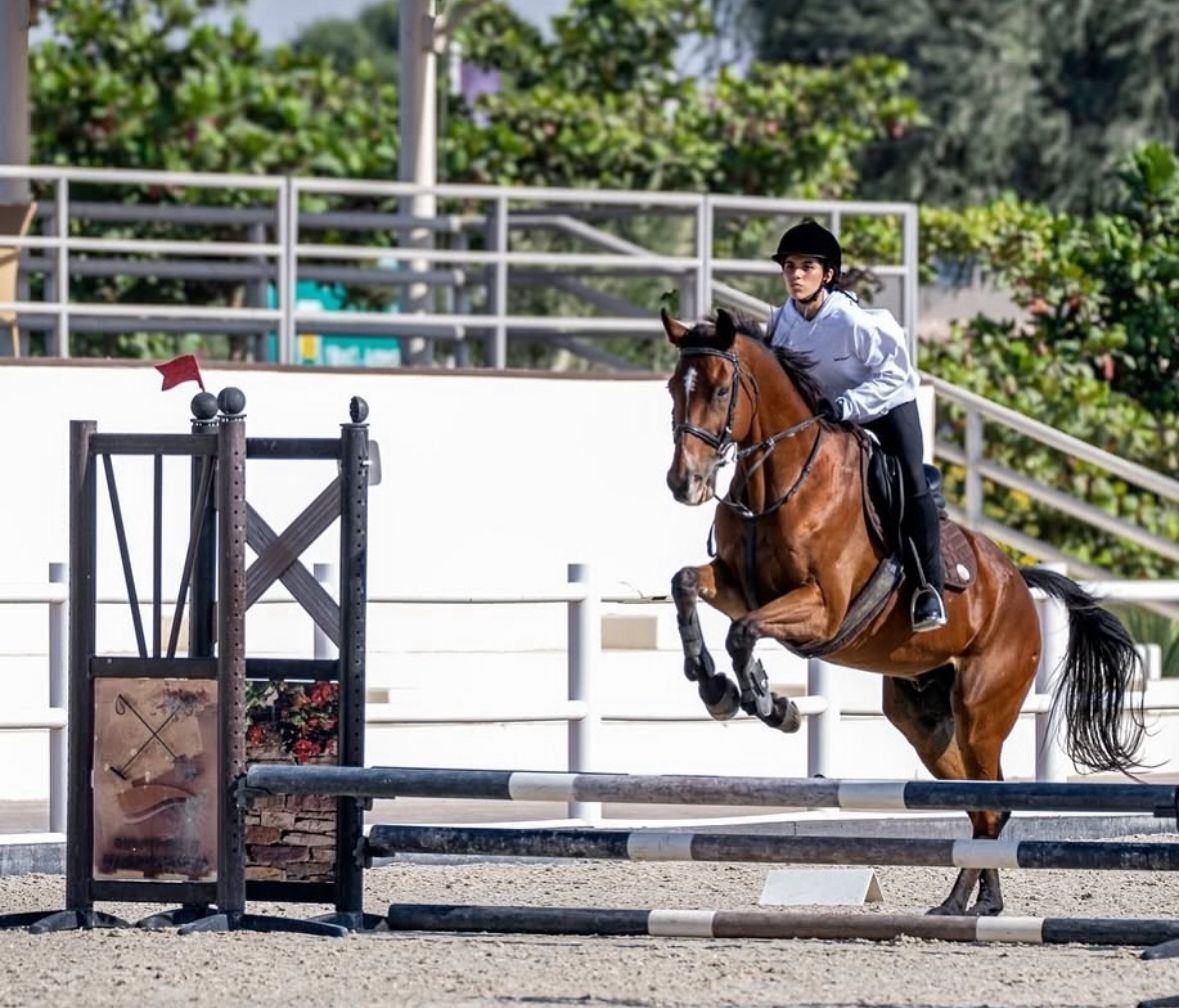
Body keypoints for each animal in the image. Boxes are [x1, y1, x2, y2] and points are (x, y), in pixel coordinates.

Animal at [669, 306, 1145, 914]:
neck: (778, 482)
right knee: (980, 808)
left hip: (980, 713)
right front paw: (714, 686)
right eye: (671, 389)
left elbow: (743, 634)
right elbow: (687, 585)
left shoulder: (821, 609)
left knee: (992, 803)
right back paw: (962, 904)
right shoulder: (736, 584)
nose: (683, 482)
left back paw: (980, 905)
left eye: (722, 389)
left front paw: (768, 702)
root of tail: (1017, 581)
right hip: (925, 721)